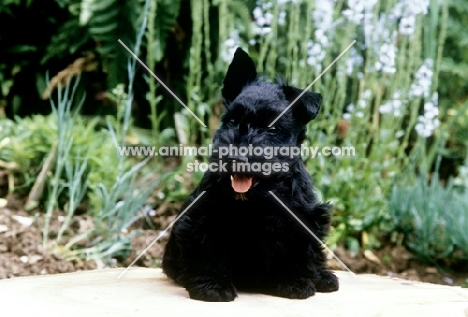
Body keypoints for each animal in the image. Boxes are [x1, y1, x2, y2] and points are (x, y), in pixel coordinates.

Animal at [163, 47, 338, 302]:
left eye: (272, 128)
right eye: (232, 120)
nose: (236, 158)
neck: (255, 199)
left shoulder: (302, 221)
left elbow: (296, 252)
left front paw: (293, 281)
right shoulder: (202, 218)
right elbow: (208, 251)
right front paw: (212, 286)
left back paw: (323, 277)